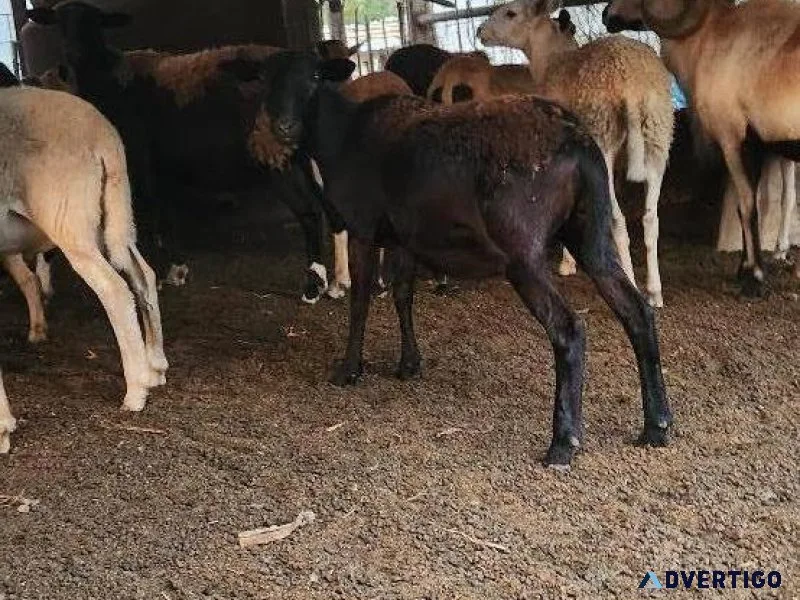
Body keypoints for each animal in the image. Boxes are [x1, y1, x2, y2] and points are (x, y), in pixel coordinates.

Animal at [0, 85, 168, 454]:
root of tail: (104, 134)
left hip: (70, 218)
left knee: (115, 291)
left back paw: (136, 391)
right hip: (109, 216)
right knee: (143, 276)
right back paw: (155, 366)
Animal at [28, 2, 355, 304]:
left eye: (95, 22)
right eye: (60, 22)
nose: (72, 53)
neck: (108, 79)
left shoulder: (138, 162)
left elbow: (151, 215)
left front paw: (166, 273)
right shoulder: (160, 169)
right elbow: (166, 212)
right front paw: (178, 268)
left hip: (276, 159)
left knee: (310, 214)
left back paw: (313, 286)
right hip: (308, 160)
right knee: (334, 212)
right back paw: (339, 282)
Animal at [257, 50, 673, 468]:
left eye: (314, 77)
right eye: (269, 81)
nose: (284, 127)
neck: (341, 137)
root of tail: (579, 141)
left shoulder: (364, 227)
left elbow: (360, 301)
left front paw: (348, 370)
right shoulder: (403, 236)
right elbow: (403, 295)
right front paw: (409, 363)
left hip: (522, 247)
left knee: (568, 328)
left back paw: (562, 443)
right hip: (590, 231)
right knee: (635, 311)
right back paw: (657, 425)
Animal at [478, 0, 675, 308]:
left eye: (510, 13)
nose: (479, 31)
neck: (550, 60)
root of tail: (630, 82)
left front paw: (566, 263)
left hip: (602, 131)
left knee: (617, 219)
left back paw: (630, 284)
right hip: (658, 133)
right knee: (650, 218)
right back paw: (654, 292)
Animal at [604, 0, 800, 295]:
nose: (606, 14)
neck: (708, 38)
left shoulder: (734, 139)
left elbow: (747, 206)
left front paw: (753, 277)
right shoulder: (759, 146)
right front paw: (745, 270)